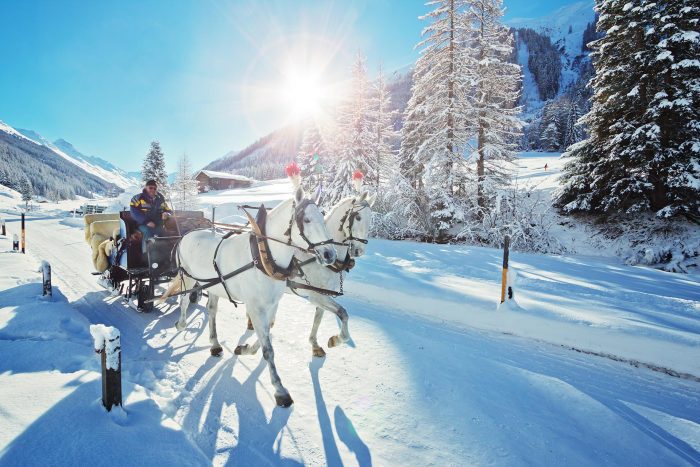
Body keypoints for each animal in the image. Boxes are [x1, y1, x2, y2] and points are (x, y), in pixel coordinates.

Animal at [164, 181, 340, 408]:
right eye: (307, 220)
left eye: (323, 217)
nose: (330, 255)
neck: (263, 258)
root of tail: (186, 235)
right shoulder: (255, 307)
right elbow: (269, 349)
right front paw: (280, 390)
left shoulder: (271, 305)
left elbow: (267, 334)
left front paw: (245, 349)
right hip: (187, 278)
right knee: (184, 300)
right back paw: (181, 323)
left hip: (214, 286)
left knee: (211, 311)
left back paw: (214, 344)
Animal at [237, 192, 378, 360]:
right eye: (357, 217)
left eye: (371, 218)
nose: (359, 250)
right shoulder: (316, 296)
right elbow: (343, 313)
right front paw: (336, 339)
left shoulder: (323, 294)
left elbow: (318, 319)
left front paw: (315, 344)